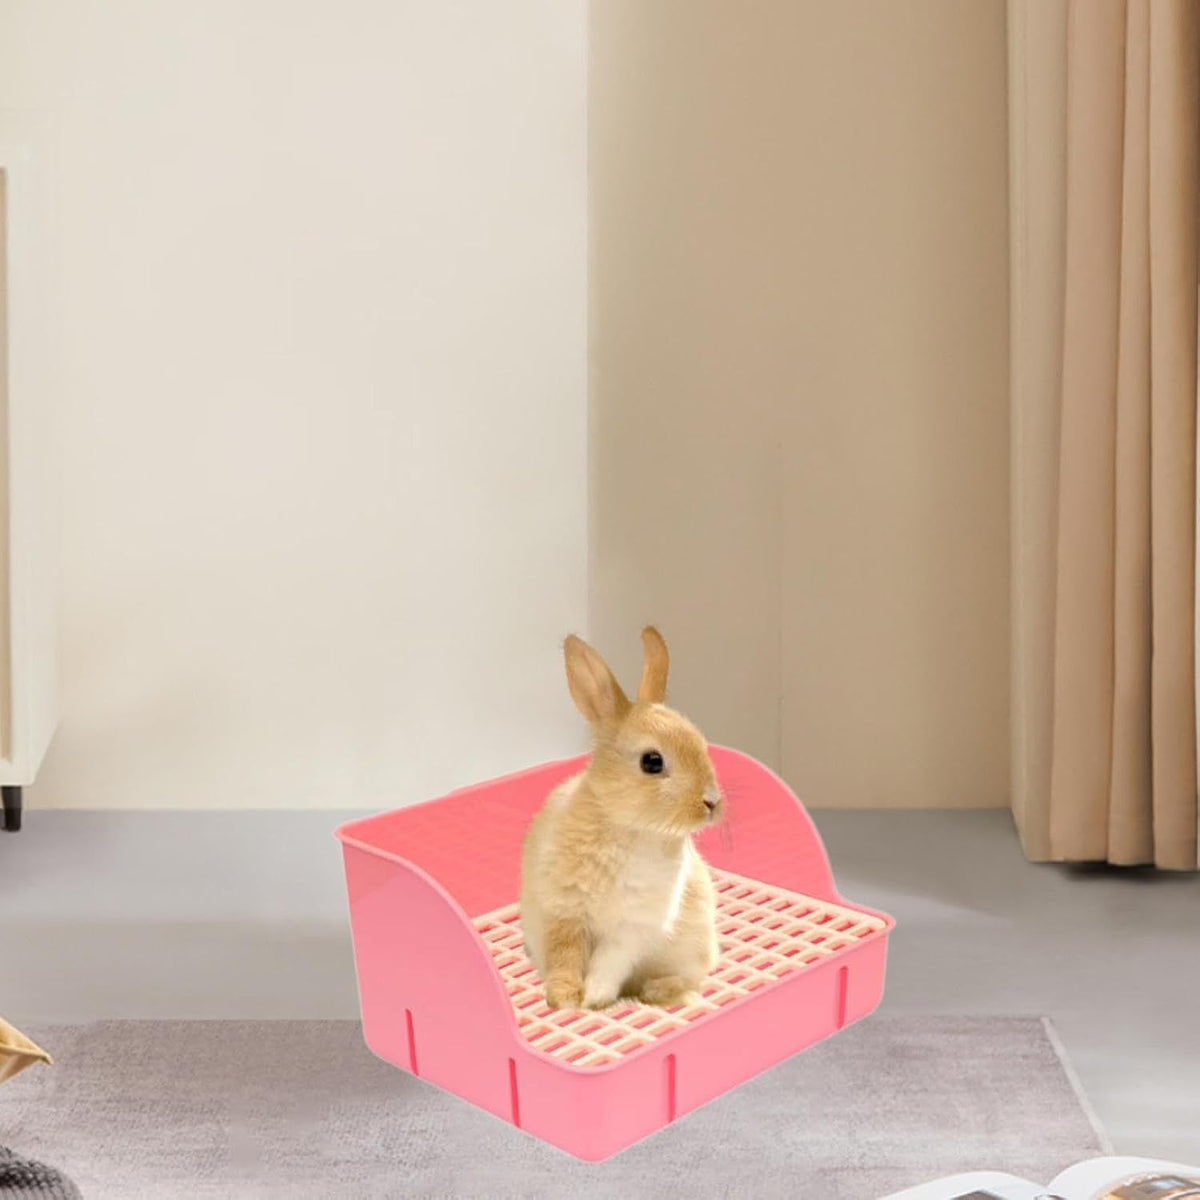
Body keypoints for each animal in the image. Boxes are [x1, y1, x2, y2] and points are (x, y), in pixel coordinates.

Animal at [519, 626, 723, 1011]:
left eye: (701, 743)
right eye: (652, 761)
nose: (711, 802)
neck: (627, 828)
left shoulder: (632, 930)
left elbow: (608, 964)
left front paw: (593, 999)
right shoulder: (565, 913)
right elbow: (564, 957)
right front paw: (564, 999)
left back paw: (662, 992)